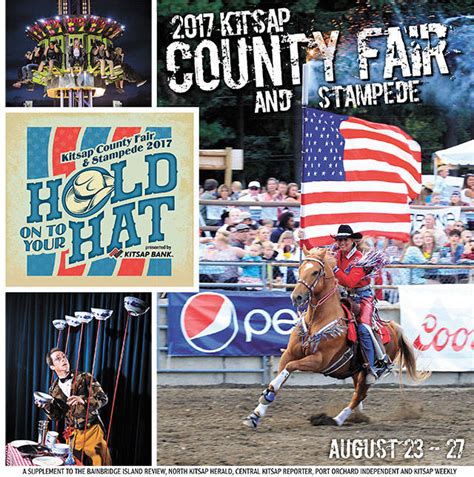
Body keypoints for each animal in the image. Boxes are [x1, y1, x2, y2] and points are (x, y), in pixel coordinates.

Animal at [243, 245, 424, 428]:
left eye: (315, 272)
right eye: (300, 268)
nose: (296, 297)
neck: (317, 319)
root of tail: (394, 327)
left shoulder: (319, 360)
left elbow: (289, 367)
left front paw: (266, 396)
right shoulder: (290, 353)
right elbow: (281, 373)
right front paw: (257, 412)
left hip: (368, 373)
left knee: (360, 394)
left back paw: (337, 419)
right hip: (356, 371)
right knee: (358, 394)